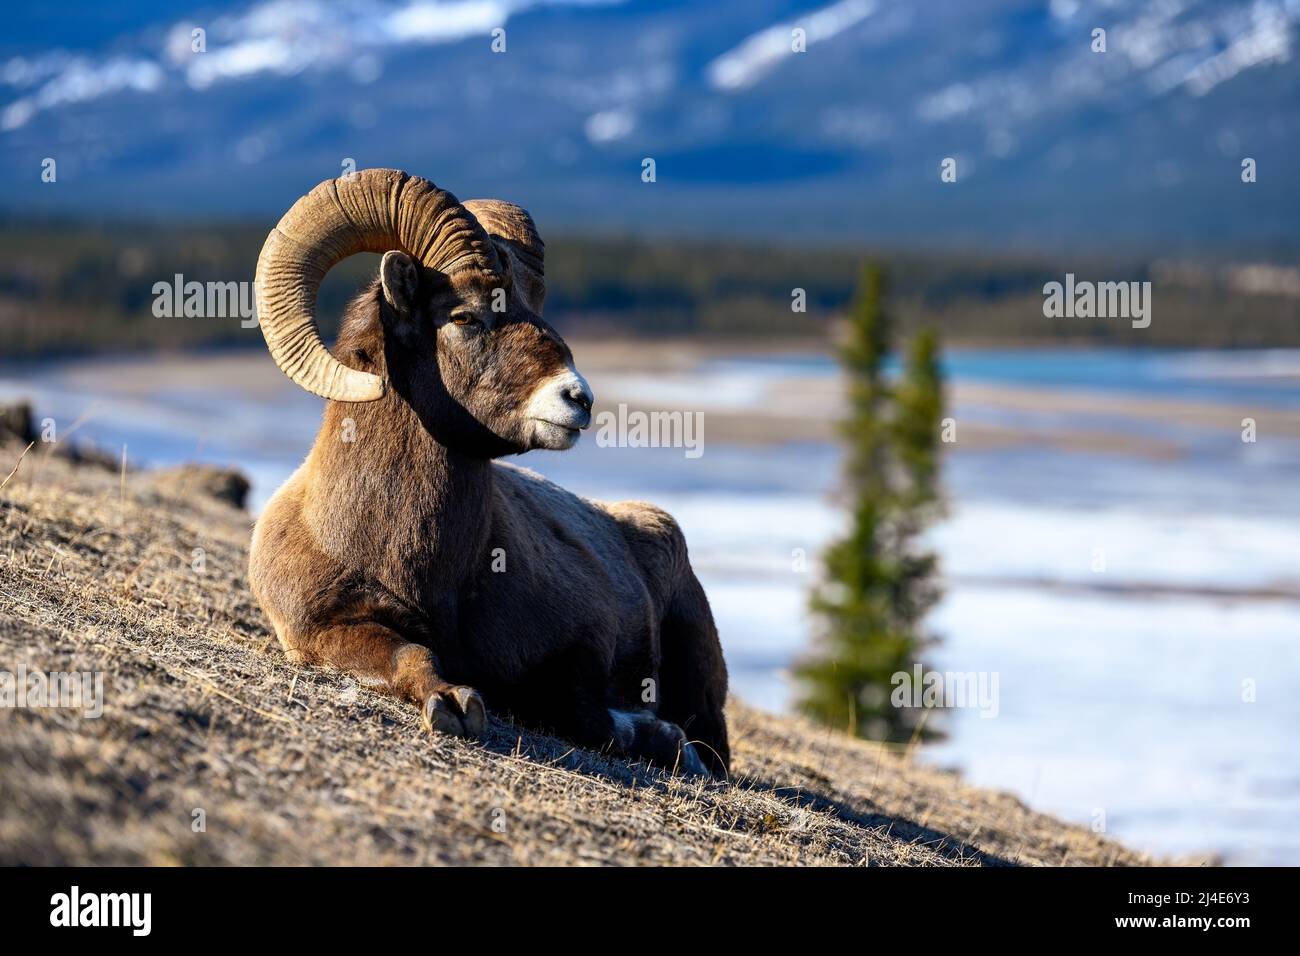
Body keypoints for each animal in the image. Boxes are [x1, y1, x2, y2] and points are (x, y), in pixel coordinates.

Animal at [248, 169, 729, 776]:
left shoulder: (579, 650)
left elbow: (579, 713)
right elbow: (413, 655)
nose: (578, 399)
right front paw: (453, 703)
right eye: (465, 316)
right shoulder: (323, 631)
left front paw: (661, 739)